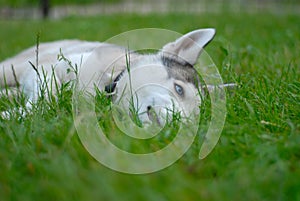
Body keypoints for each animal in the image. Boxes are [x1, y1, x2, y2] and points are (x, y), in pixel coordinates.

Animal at [0, 28, 216, 124]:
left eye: (193, 120)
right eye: (179, 89)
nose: (176, 125)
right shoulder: (48, 70)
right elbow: (47, 99)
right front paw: (10, 115)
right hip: (14, 67)